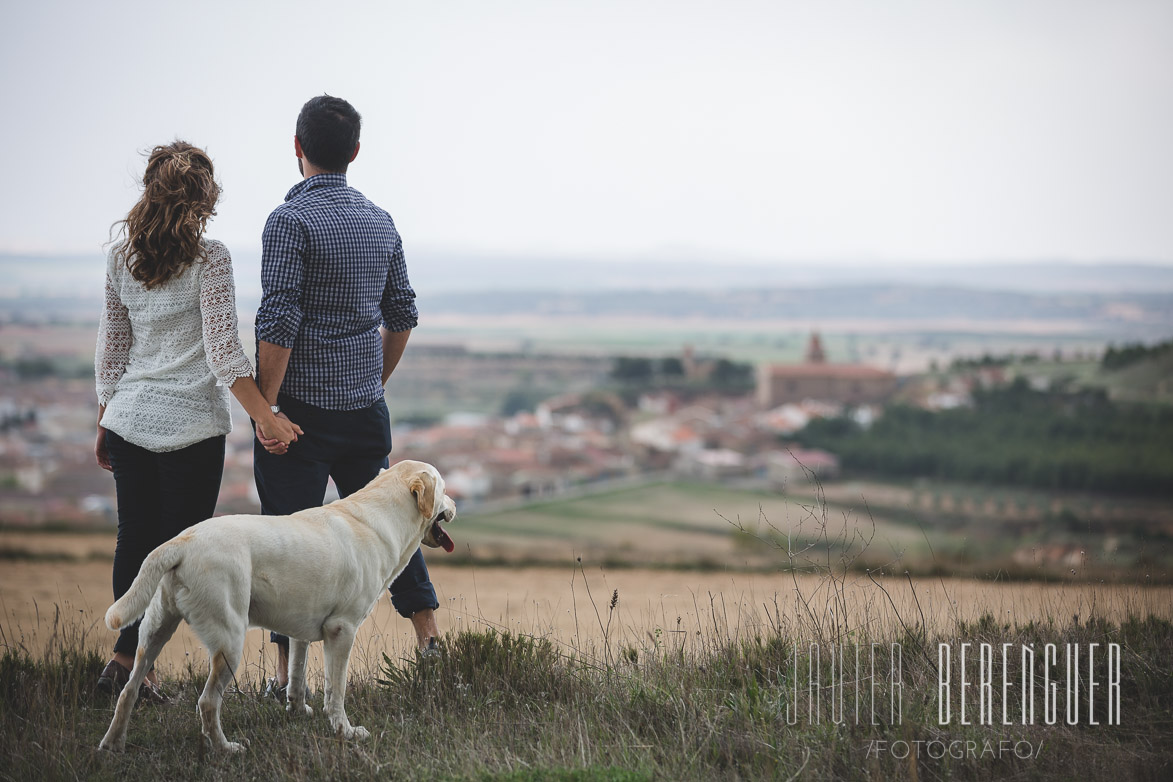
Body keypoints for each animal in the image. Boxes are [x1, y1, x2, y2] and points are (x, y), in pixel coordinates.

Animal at [97, 459, 452, 750]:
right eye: (445, 489)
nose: (454, 505)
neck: (380, 519)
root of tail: (181, 541)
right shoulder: (342, 629)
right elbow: (335, 691)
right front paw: (345, 731)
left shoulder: (301, 631)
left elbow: (296, 674)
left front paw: (297, 711)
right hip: (230, 641)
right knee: (208, 702)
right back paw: (225, 749)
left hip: (154, 630)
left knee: (128, 690)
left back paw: (113, 744)